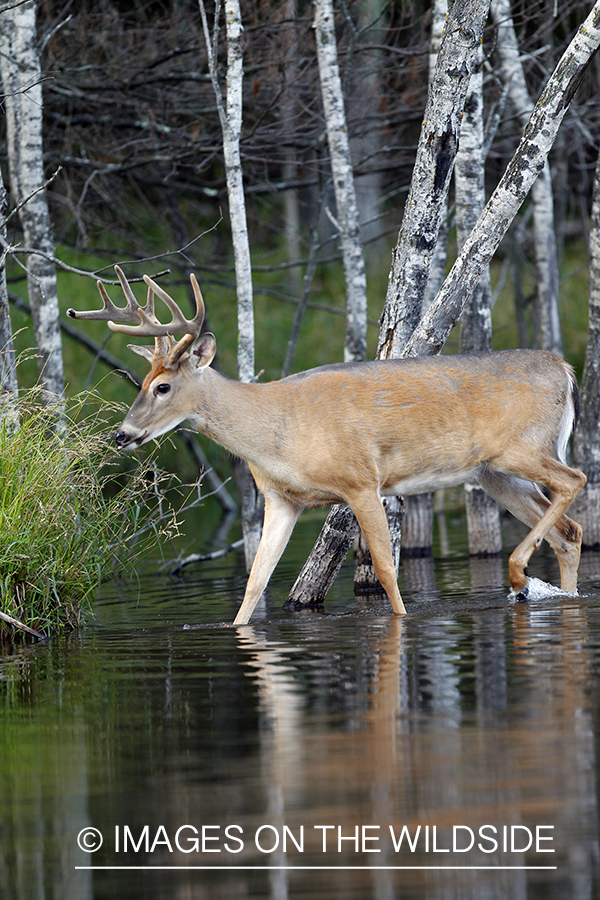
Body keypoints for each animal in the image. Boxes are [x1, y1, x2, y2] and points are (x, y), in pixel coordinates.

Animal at [67, 268, 584, 624]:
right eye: (140, 382)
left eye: (163, 387)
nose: (122, 435)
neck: (276, 431)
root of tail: (564, 368)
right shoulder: (281, 500)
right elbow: (255, 581)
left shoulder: (361, 480)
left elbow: (385, 568)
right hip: (493, 473)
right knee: (569, 532)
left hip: (521, 449)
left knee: (574, 480)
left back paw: (517, 572)